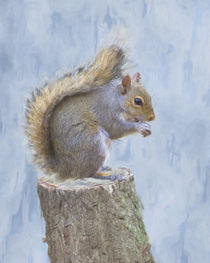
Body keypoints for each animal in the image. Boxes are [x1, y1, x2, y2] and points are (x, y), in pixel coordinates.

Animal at [25, 46, 155, 182]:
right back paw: (108, 176)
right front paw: (140, 126)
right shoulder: (105, 111)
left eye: (150, 96)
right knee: (87, 174)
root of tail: (66, 169)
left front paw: (146, 126)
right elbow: (116, 129)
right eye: (137, 101)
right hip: (92, 144)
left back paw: (104, 168)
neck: (116, 98)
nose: (152, 117)